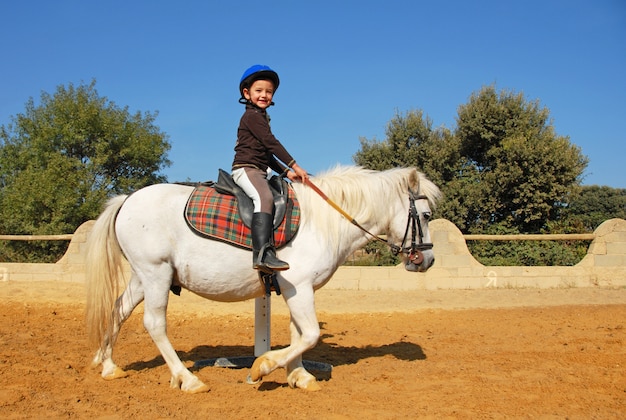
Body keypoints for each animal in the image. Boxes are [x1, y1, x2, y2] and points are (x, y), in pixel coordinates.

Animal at [86, 166, 438, 392]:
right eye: (425, 215)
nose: (428, 260)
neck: (324, 220)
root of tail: (126, 200)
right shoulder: (299, 286)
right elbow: (310, 335)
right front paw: (262, 368)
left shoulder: (299, 290)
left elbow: (299, 335)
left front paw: (299, 376)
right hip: (156, 274)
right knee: (154, 324)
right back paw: (187, 379)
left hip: (142, 277)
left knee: (118, 311)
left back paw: (108, 366)